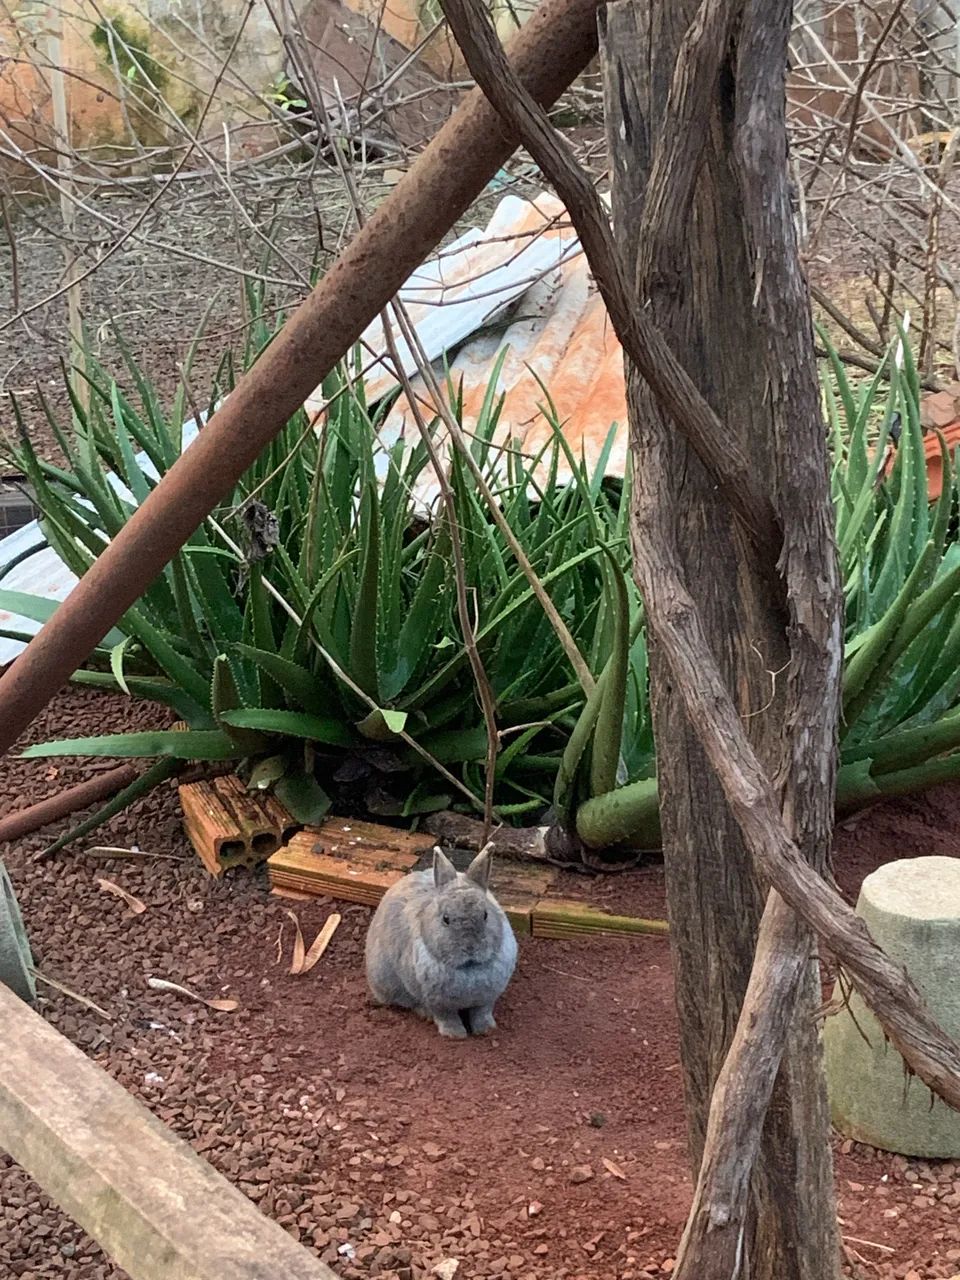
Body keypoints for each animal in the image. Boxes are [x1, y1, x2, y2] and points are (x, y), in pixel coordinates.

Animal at [365, 846, 517, 1038]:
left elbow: (481, 1013)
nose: (470, 948)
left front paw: (486, 1030)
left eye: (485, 915)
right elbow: (446, 1017)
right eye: (445, 919)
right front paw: (455, 1035)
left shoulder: (486, 1000)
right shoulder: (437, 1003)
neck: (468, 968)